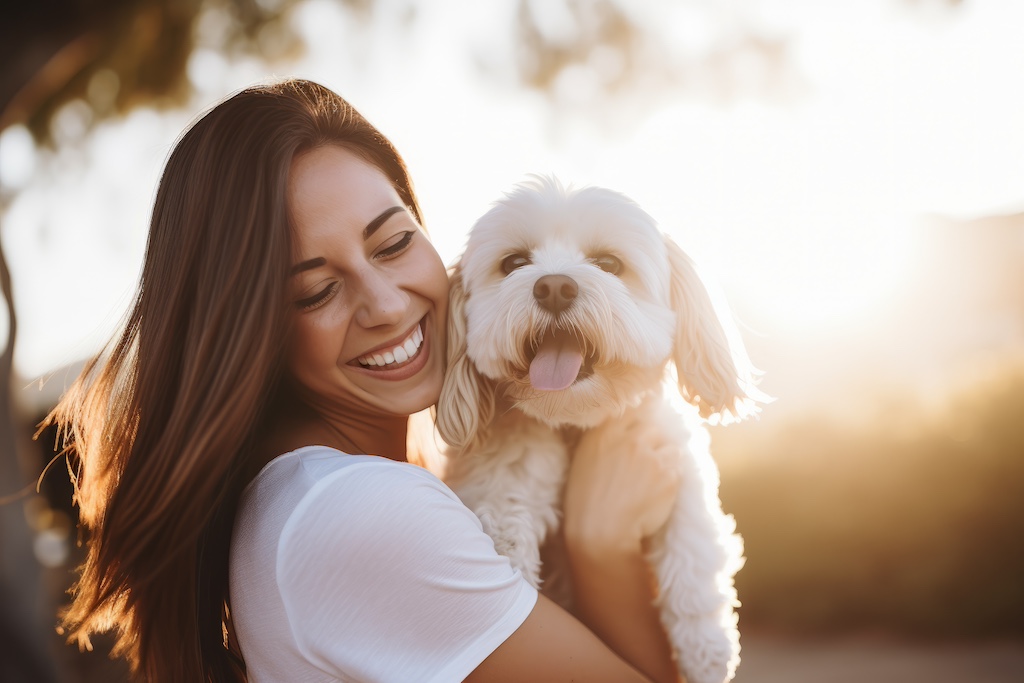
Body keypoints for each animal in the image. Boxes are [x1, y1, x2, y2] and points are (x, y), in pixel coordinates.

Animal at [436, 178, 765, 683]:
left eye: (609, 264)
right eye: (513, 263)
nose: (554, 286)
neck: (573, 421)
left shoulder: (677, 463)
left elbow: (692, 548)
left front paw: (707, 649)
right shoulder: (499, 477)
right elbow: (504, 522)